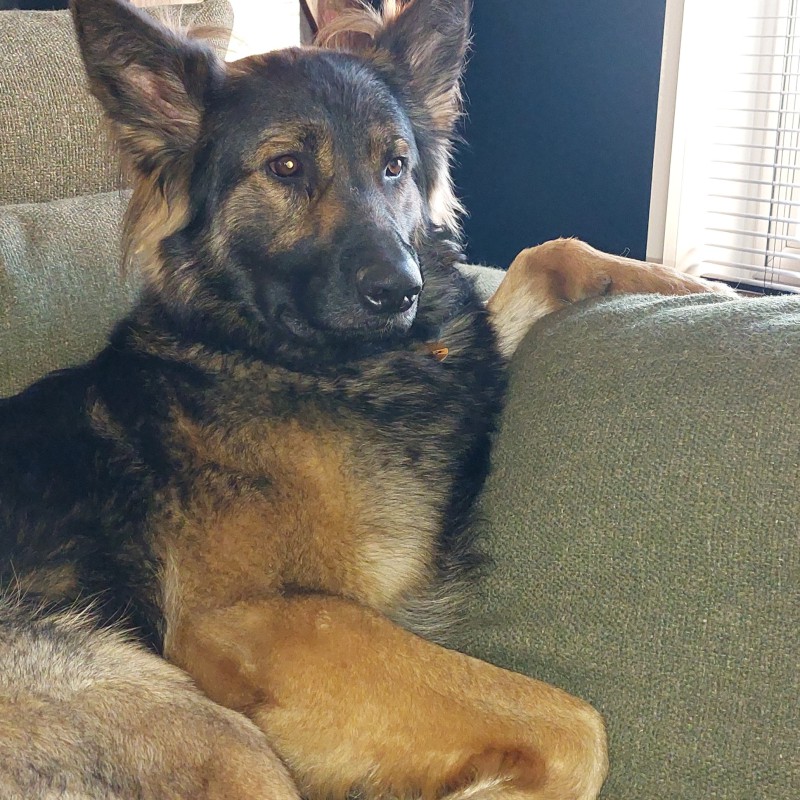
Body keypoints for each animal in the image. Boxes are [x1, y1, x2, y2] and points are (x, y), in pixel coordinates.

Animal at [0, 0, 735, 797]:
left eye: (395, 165)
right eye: (287, 167)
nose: (400, 291)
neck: (287, 358)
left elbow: (549, 255)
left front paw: (689, 284)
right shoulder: (248, 618)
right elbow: (573, 726)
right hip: (204, 726)